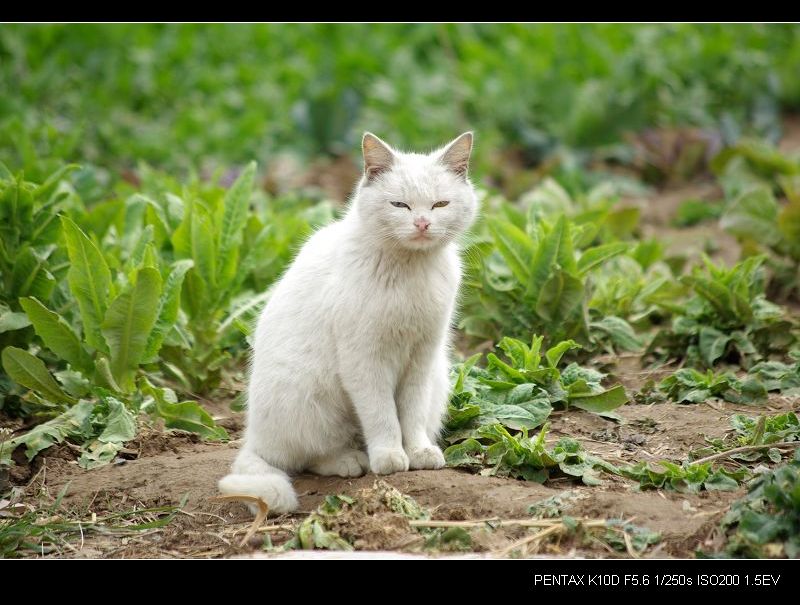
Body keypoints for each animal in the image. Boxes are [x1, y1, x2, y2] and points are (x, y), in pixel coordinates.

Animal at [217, 131, 476, 510]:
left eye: (440, 204)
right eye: (400, 205)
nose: (422, 223)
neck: (409, 269)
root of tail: (253, 439)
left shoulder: (422, 358)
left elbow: (410, 413)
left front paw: (418, 452)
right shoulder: (365, 360)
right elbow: (383, 415)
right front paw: (390, 457)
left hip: (438, 377)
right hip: (308, 394)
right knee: (308, 456)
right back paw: (352, 460)